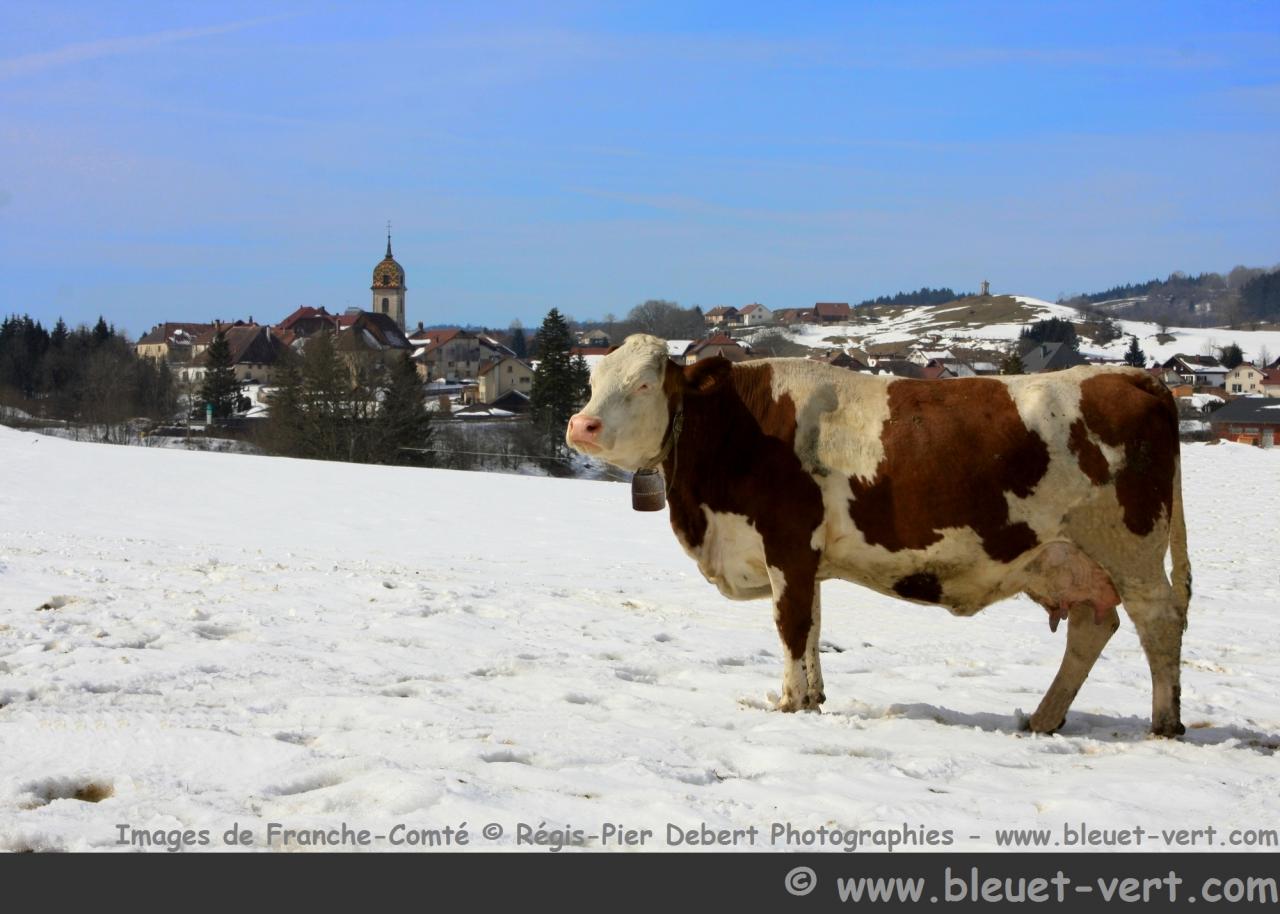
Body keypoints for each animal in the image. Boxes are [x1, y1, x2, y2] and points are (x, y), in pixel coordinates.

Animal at [566, 334, 1191, 737]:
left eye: (645, 385)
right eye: (593, 379)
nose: (582, 425)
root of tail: (1132, 377)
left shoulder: (787, 544)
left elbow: (791, 626)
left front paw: (790, 704)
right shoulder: (807, 557)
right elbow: (814, 625)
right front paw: (814, 698)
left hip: (1129, 545)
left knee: (1157, 621)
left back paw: (1164, 723)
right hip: (1072, 557)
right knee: (1093, 626)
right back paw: (1042, 719)